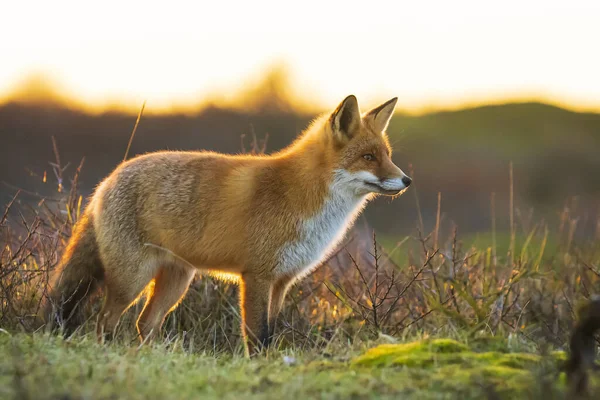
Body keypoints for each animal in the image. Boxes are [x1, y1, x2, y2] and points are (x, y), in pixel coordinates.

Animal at [44, 94, 412, 356]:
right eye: (368, 157)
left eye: (388, 155)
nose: (406, 180)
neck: (305, 197)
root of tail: (106, 181)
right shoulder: (257, 276)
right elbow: (257, 335)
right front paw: (258, 369)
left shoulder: (282, 281)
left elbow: (270, 332)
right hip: (131, 279)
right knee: (105, 322)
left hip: (176, 281)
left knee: (143, 323)